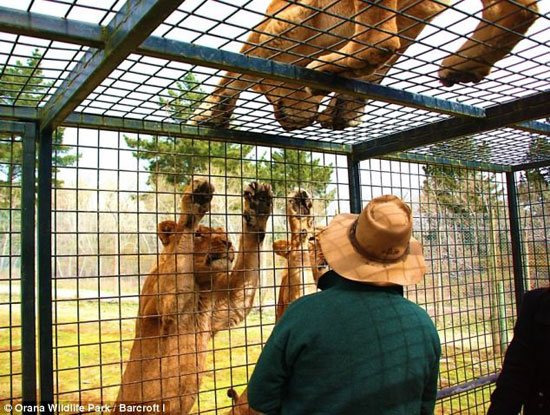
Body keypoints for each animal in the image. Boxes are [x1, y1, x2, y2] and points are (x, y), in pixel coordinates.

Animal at [190, 0, 540, 132]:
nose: (294, 125)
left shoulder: (276, 24)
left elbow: (237, 66)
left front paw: (210, 110)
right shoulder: (417, 11)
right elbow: (383, 65)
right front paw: (346, 108)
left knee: (380, 38)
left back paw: (330, 64)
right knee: (520, 9)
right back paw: (465, 62)